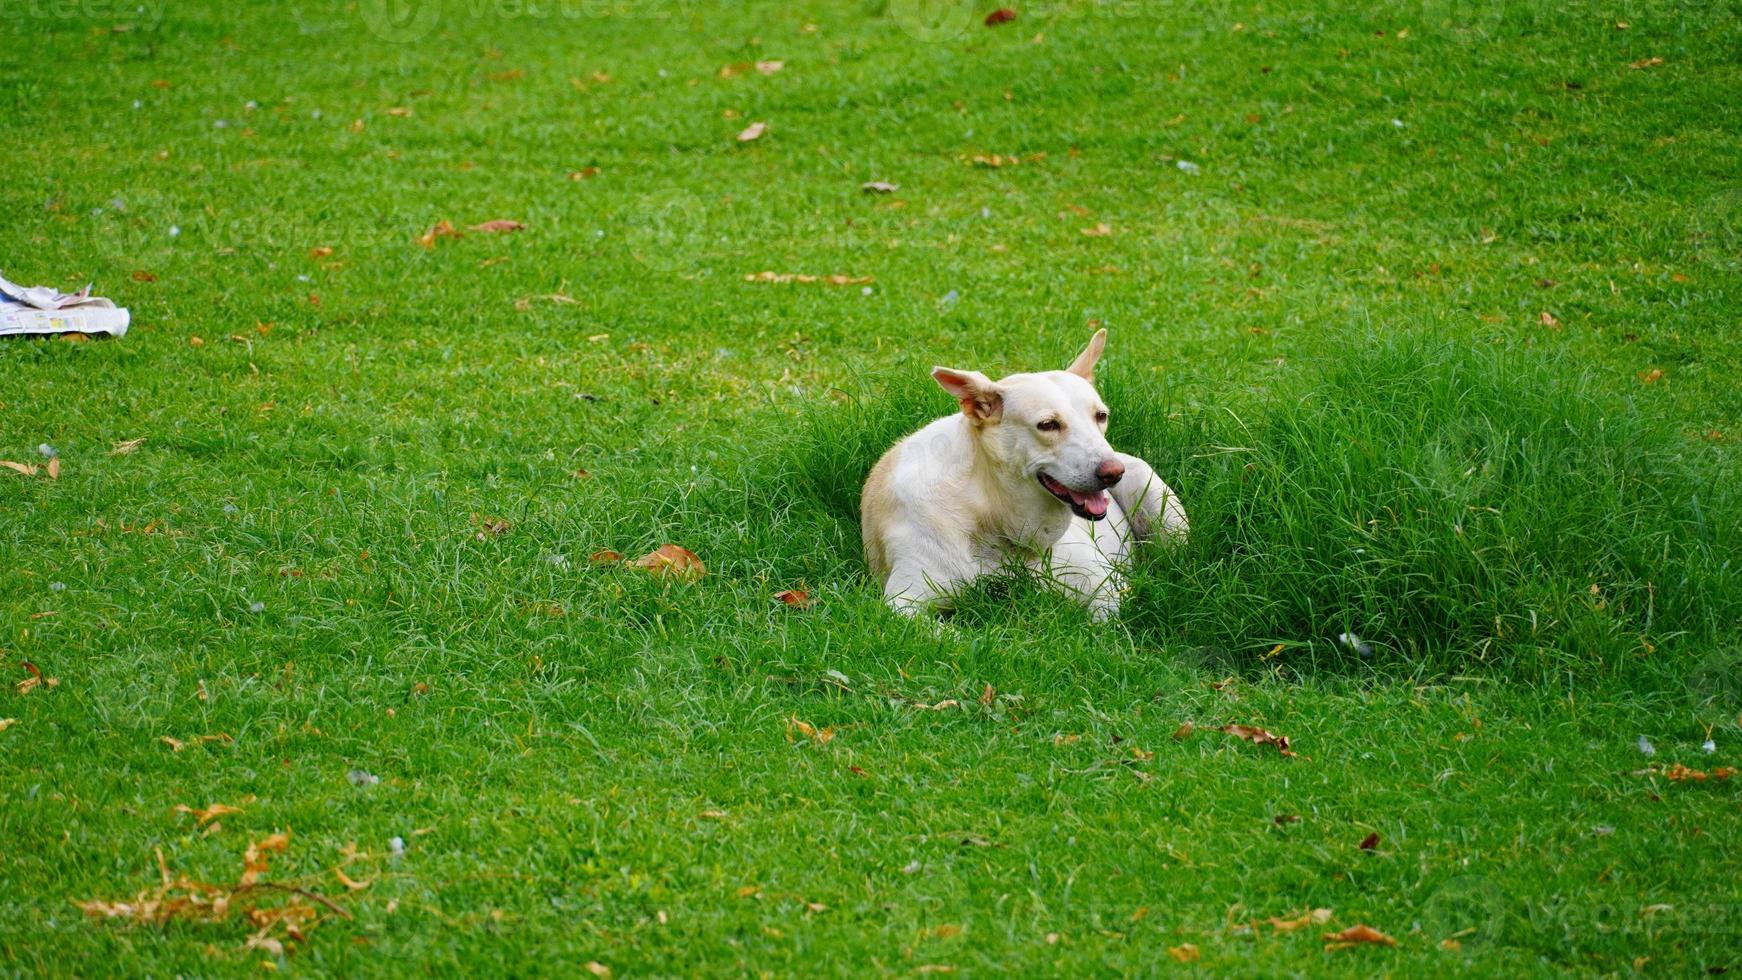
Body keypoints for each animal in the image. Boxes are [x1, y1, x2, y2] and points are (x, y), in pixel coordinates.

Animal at [857, 332, 1184, 619]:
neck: (988, 514)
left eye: (1100, 416)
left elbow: (1106, 623)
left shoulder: (1105, 584)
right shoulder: (904, 604)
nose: (1113, 473)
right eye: (1048, 425)